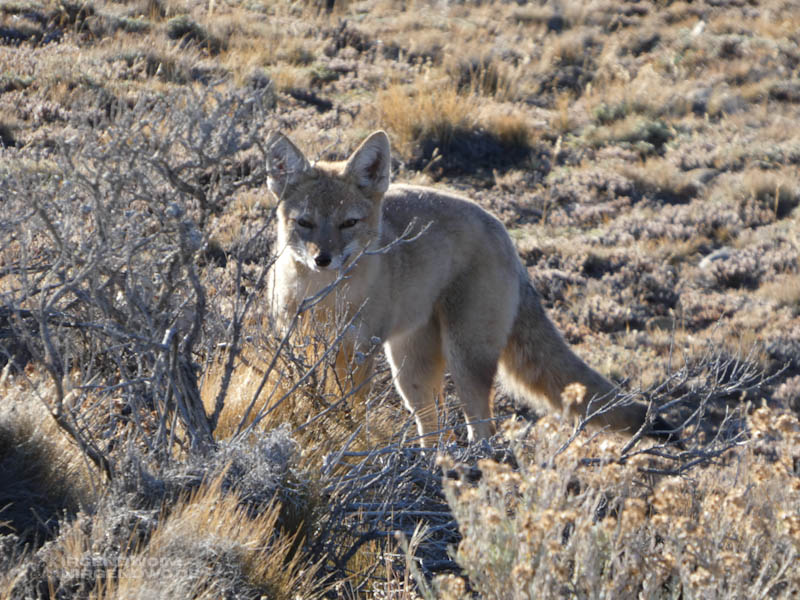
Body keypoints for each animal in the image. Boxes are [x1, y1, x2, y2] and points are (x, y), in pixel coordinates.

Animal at [265, 130, 674, 446]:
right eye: (305, 223)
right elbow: (309, 396)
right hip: (411, 371)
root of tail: (500, 228)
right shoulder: (298, 343)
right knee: (435, 426)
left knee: (481, 428)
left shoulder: (357, 350)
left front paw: (343, 435)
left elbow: (348, 406)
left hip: (463, 359)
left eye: (348, 223)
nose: (323, 259)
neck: (323, 297)